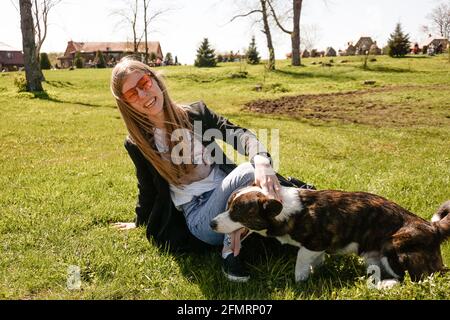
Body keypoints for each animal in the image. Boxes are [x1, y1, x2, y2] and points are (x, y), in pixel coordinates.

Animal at [211, 186, 450, 286]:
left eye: (237, 212)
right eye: (228, 206)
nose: (212, 223)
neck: (286, 210)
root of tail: (432, 227)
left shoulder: (312, 246)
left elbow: (299, 266)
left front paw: (300, 283)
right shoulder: (317, 250)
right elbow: (316, 263)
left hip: (394, 246)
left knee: (414, 279)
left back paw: (386, 286)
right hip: (374, 256)